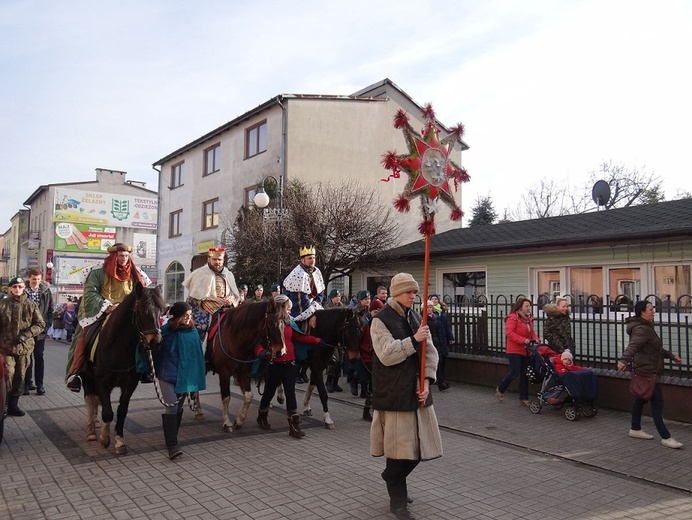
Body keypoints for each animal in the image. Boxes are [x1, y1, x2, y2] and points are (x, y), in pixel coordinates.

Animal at [82, 284, 166, 456]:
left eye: (161, 311)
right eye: (144, 311)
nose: (156, 342)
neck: (117, 347)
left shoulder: (129, 384)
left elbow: (122, 411)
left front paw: (119, 442)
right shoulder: (102, 382)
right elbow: (108, 411)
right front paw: (104, 439)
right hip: (87, 377)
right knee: (90, 400)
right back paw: (91, 431)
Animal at [211, 298, 286, 432]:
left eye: (285, 324)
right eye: (272, 324)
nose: (281, 352)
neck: (235, 338)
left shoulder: (243, 372)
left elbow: (249, 396)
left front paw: (239, 421)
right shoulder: (224, 372)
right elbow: (226, 397)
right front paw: (227, 422)